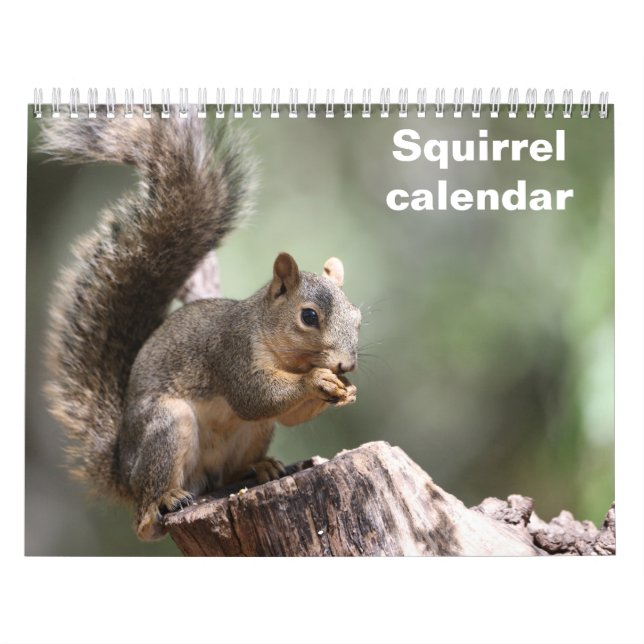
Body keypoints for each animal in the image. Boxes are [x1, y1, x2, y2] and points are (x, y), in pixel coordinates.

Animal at [39, 106, 361, 541]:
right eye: (308, 316)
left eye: (357, 318)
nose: (346, 364)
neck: (284, 354)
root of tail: (124, 471)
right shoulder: (230, 352)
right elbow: (254, 396)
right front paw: (318, 380)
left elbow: (287, 414)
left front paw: (342, 388)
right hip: (165, 426)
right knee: (146, 517)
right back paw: (161, 502)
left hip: (254, 433)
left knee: (229, 472)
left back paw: (260, 468)